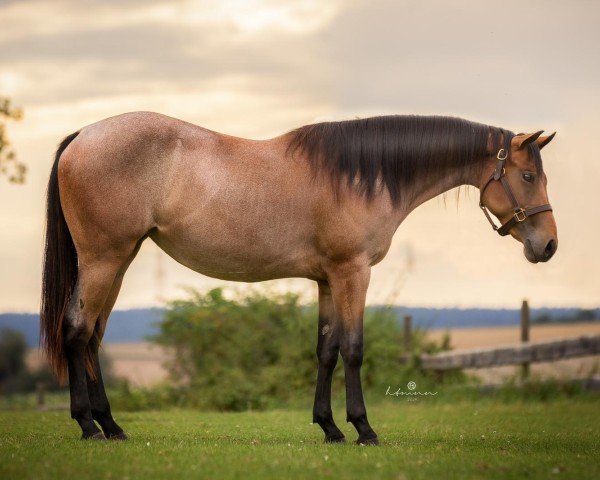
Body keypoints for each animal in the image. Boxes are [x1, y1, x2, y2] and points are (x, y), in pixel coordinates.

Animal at [41, 111, 556, 442]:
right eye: (529, 176)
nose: (548, 245)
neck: (361, 176)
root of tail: (82, 135)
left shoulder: (327, 279)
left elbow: (326, 350)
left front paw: (329, 427)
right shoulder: (352, 272)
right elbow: (353, 348)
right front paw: (363, 429)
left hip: (119, 260)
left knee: (93, 336)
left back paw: (110, 425)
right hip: (103, 259)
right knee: (78, 330)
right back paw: (87, 425)